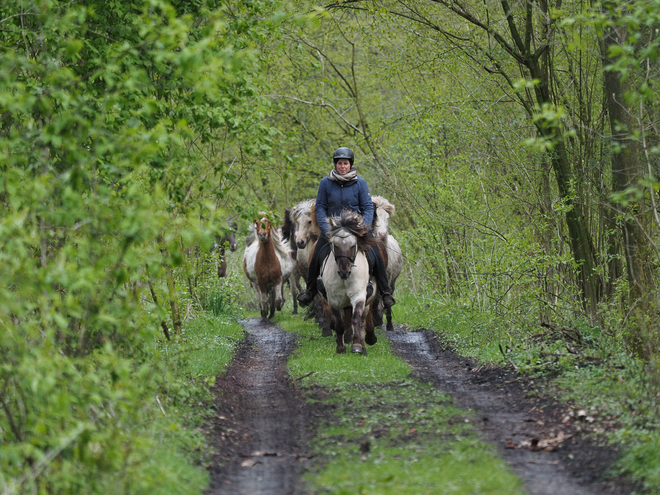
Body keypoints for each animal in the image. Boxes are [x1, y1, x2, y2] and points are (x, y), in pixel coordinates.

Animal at [318, 211, 376, 354]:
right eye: (335, 245)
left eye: (353, 245)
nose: (344, 272)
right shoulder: (333, 300)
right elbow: (339, 324)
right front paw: (340, 348)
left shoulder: (359, 295)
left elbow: (356, 319)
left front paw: (357, 346)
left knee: (362, 321)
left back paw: (363, 347)